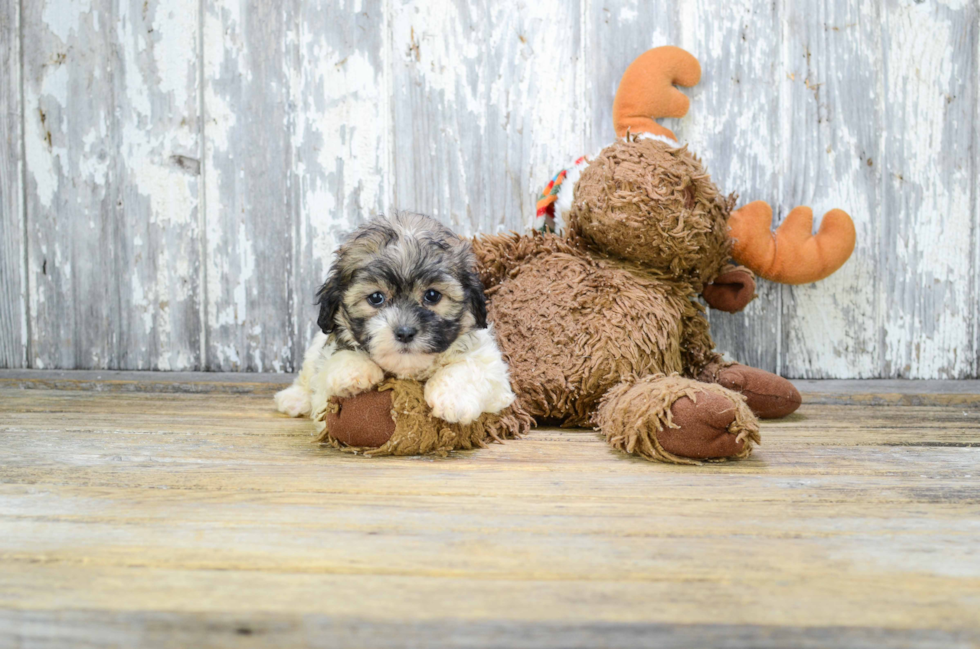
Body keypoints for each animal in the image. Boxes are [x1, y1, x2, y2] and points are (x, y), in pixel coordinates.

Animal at [268, 210, 512, 428]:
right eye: (376, 298)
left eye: (432, 295)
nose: (405, 332)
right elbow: (333, 362)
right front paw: (354, 370)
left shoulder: (494, 372)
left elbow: (470, 367)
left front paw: (453, 398)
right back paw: (294, 398)